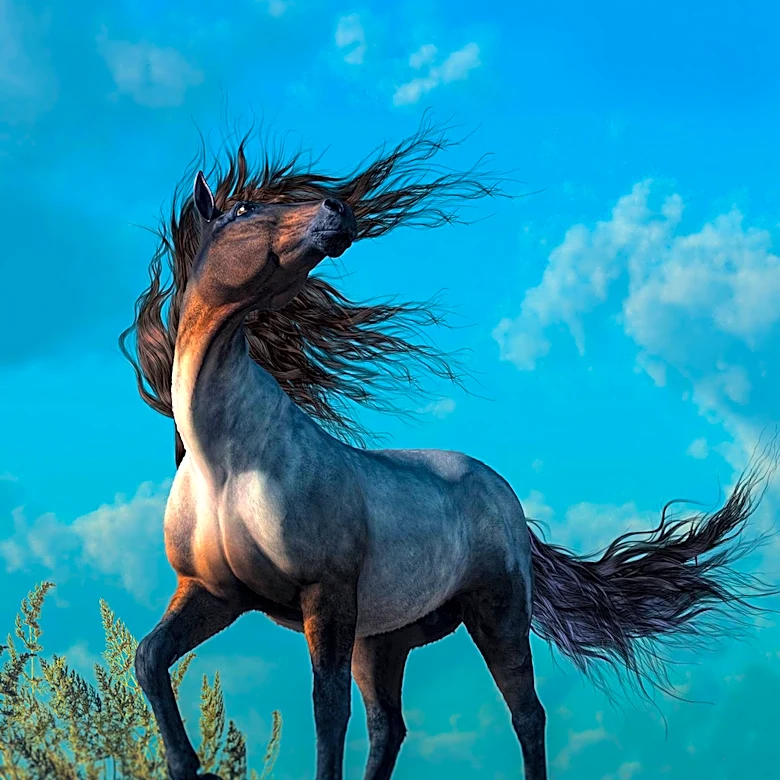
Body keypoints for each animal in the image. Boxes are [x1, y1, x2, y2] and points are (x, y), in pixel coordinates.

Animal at [122, 127, 775, 780]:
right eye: (241, 211)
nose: (339, 210)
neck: (228, 462)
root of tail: (505, 497)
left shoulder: (324, 598)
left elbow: (325, 710)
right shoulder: (214, 593)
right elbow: (149, 657)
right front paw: (187, 765)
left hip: (496, 617)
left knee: (526, 713)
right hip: (381, 639)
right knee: (390, 726)